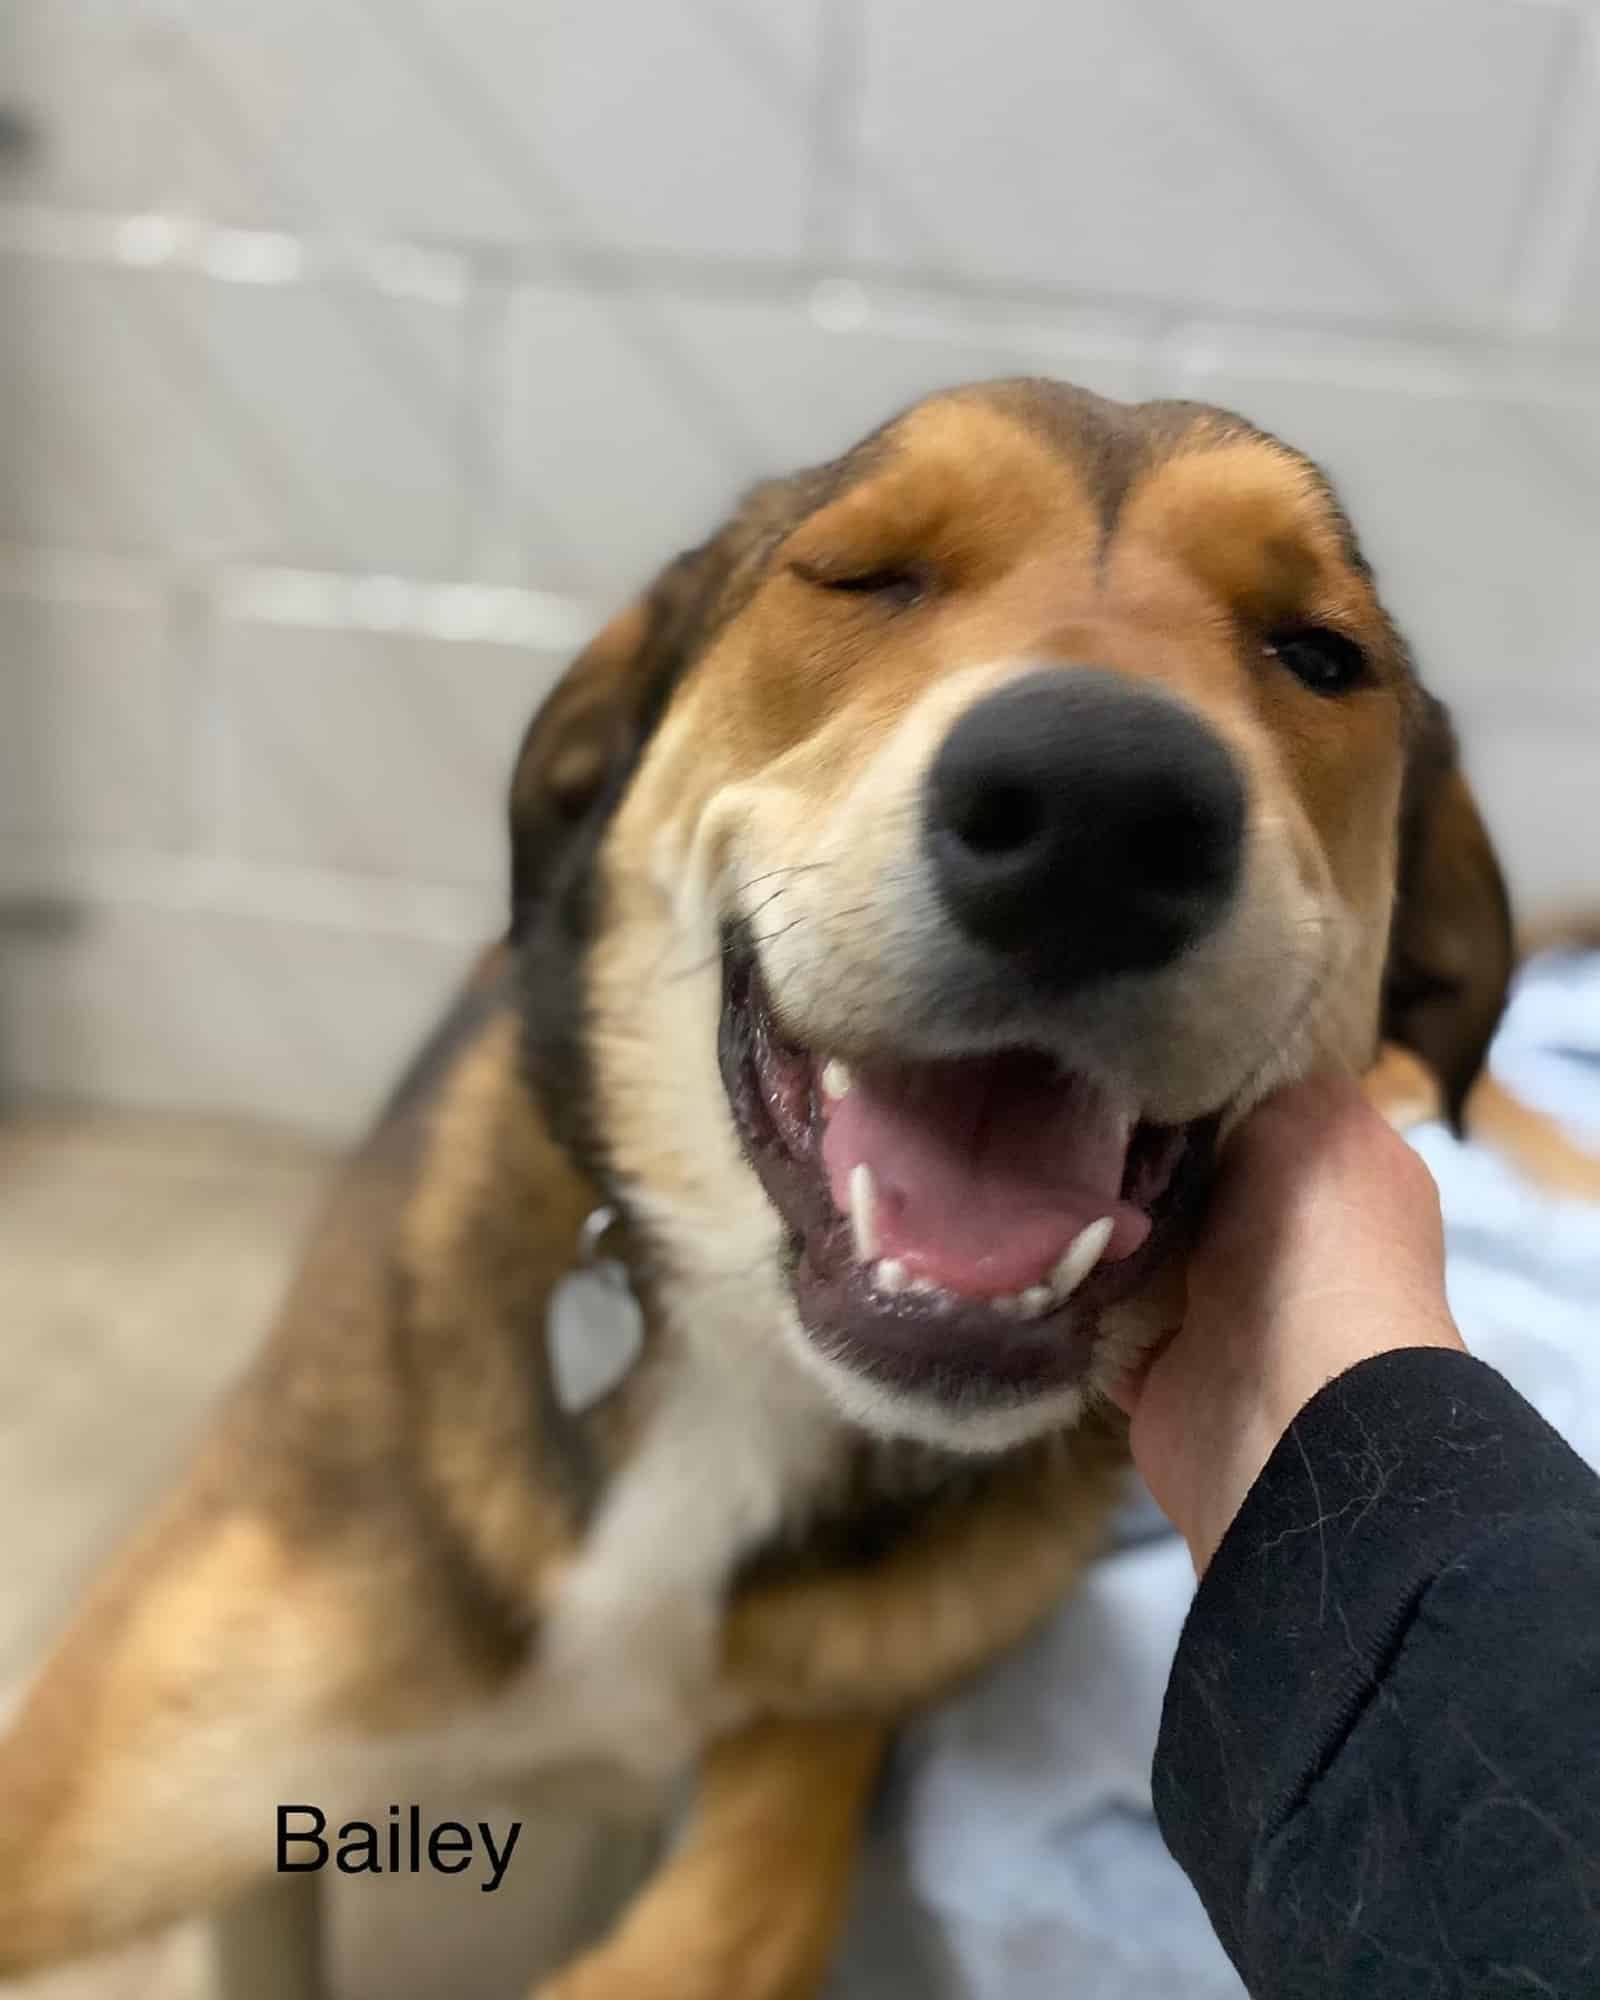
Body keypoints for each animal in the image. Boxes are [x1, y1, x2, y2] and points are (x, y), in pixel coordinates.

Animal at [0, 382, 1520, 1992]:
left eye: (1320, 654)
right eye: (862, 575)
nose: (1101, 813)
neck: (747, 1381)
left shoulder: (831, 1712)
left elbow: (745, 1903)